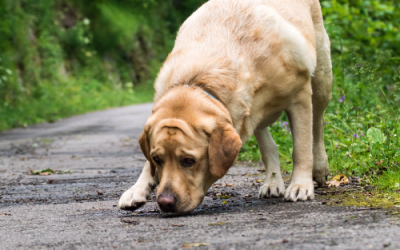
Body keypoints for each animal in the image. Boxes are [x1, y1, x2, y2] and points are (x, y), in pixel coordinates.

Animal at [118, 0, 332, 213]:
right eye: (157, 159)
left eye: (189, 161)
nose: (165, 202)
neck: (199, 81)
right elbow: (147, 166)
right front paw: (137, 189)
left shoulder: (300, 96)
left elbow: (301, 147)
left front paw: (300, 185)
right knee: (268, 144)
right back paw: (273, 182)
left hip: (321, 81)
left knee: (317, 124)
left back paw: (319, 167)